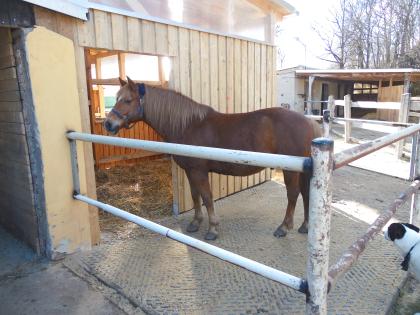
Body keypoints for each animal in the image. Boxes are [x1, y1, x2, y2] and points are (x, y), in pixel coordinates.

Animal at [103, 78, 320, 241]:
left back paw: (284, 227)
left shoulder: (199, 171)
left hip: (290, 170)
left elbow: (207, 197)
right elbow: (195, 196)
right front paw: (195, 223)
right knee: (306, 194)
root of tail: (308, 122)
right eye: (117, 98)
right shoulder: (190, 171)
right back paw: (305, 226)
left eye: (128, 100)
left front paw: (212, 229)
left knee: (293, 195)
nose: (108, 124)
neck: (188, 125)